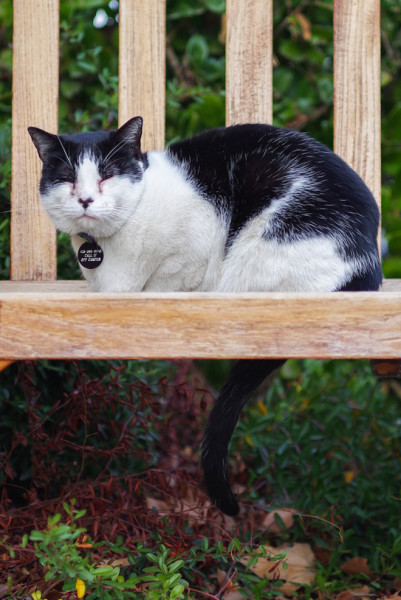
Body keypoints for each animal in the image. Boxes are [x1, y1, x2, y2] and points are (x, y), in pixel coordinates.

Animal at [28, 117, 382, 516]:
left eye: (107, 174)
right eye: (68, 178)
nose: (85, 200)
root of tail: (369, 262)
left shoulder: (193, 247)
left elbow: (170, 277)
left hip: (259, 247)